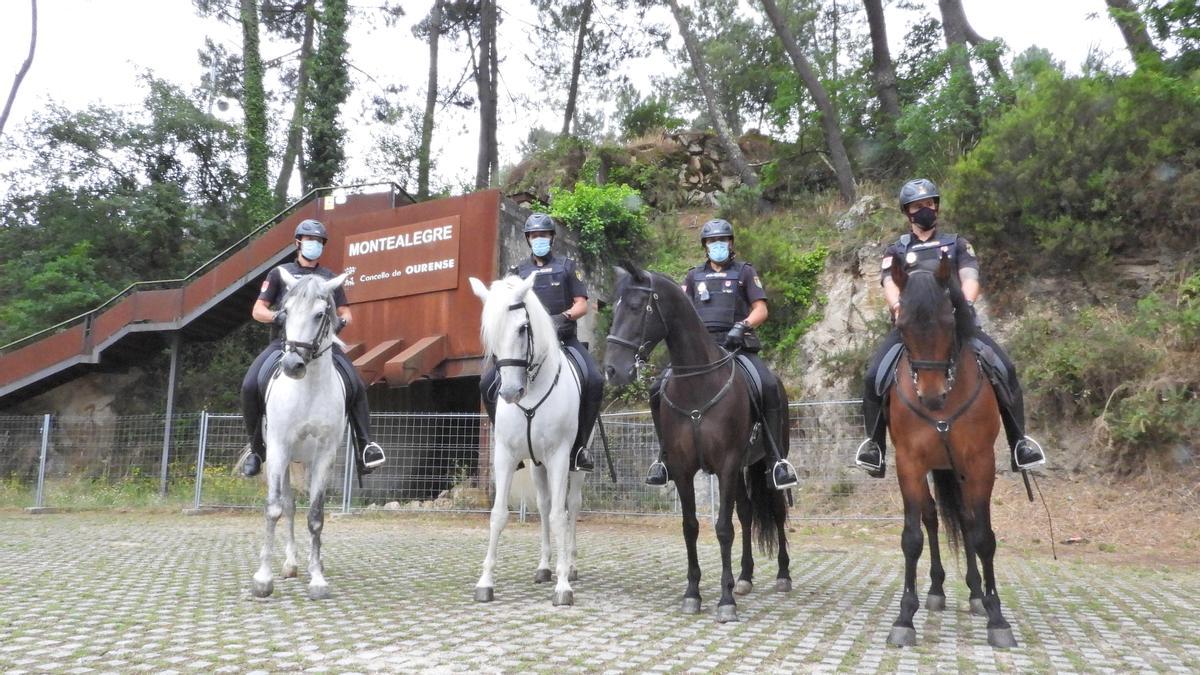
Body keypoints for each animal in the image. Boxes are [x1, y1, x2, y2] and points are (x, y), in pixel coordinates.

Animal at [249, 267, 348, 598]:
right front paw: (263, 578)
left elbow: (316, 516)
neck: (309, 389)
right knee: (289, 507)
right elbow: (275, 509)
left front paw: (317, 578)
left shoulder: (325, 455)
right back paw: (290, 564)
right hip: (282, 458)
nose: (293, 364)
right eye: (285, 312)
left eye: (320, 314)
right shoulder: (279, 448)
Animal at [465, 271, 583, 605]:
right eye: (490, 332)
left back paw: (569, 565)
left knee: (572, 505)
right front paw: (485, 582)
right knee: (543, 505)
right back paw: (544, 567)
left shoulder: (560, 456)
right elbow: (498, 515)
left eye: (522, 328)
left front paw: (563, 587)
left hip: (576, 461)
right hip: (536, 464)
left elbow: (559, 515)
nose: (509, 393)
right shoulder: (505, 455)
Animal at [604, 263, 792, 619]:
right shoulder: (682, 468)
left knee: (776, 509)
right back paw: (745, 577)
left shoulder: (727, 465)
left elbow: (723, 529)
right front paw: (693, 593)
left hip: (767, 461)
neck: (698, 384)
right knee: (747, 513)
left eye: (635, 307)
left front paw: (725, 600)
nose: (612, 370)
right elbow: (690, 526)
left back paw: (783, 574)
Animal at [888, 249, 1017, 643]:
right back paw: (936, 590)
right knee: (932, 518)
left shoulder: (980, 463)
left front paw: (997, 616)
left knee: (966, 518)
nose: (931, 396)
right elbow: (912, 537)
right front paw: (905, 617)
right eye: (902, 326)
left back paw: (976, 595)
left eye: (949, 321)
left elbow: (983, 536)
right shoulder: (908, 463)